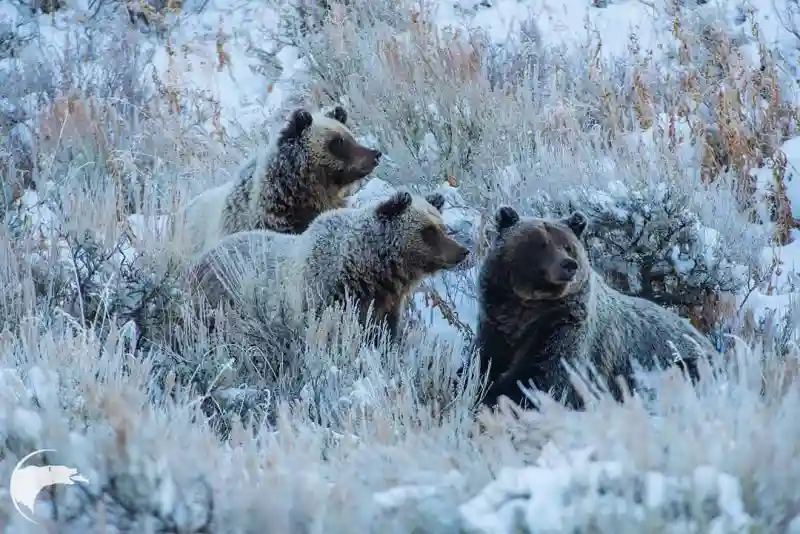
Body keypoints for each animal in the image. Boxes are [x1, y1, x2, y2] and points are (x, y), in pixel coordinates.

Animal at [191, 193, 472, 344]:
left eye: (442, 225)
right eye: (428, 231)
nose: (462, 251)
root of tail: (202, 258)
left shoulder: (385, 306)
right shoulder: (322, 296)